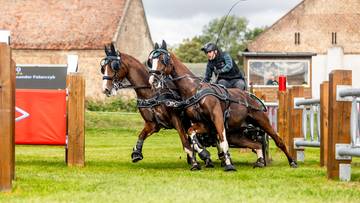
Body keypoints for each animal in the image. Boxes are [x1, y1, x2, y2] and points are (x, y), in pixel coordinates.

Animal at [147, 40, 298, 170]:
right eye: (150, 61)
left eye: (162, 59)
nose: (153, 80)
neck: (195, 90)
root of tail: (252, 97)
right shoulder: (204, 124)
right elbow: (191, 134)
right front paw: (205, 154)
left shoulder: (217, 117)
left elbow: (222, 140)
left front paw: (228, 164)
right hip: (237, 134)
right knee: (256, 144)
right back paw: (260, 162)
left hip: (262, 121)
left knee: (277, 140)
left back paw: (292, 162)